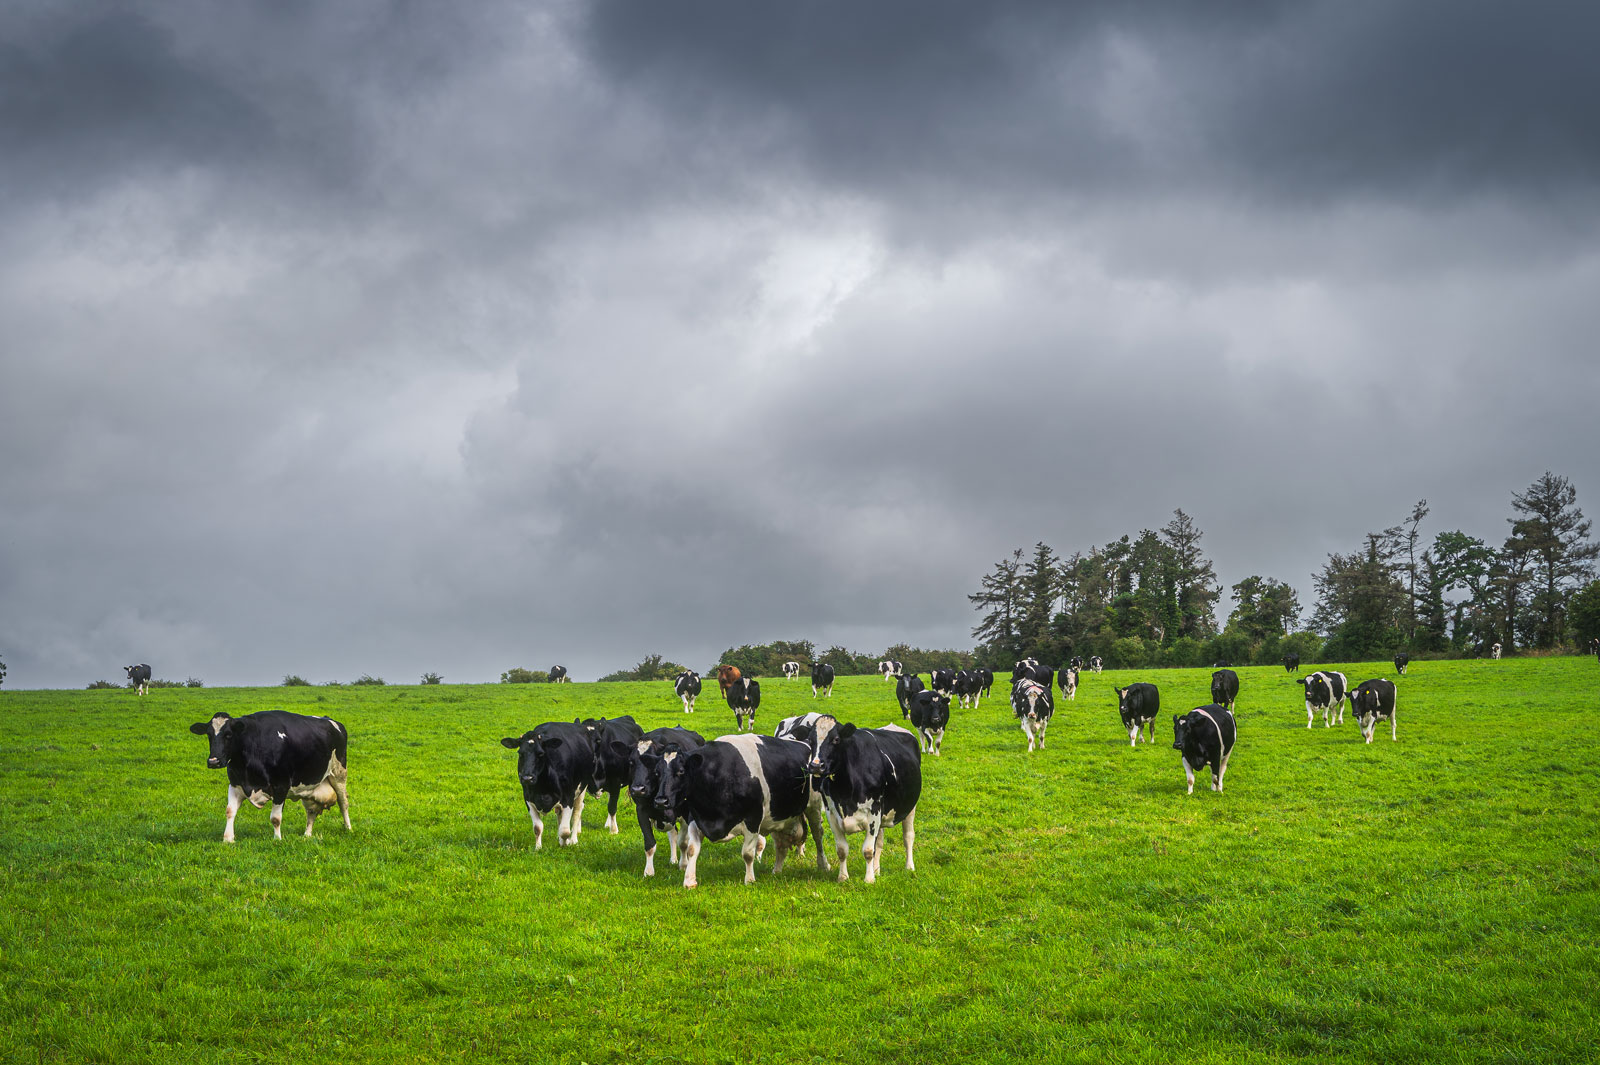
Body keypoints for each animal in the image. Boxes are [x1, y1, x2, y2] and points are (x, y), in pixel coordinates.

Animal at [189, 711, 350, 842]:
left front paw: (277, 839)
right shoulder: (235, 784)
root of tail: (330, 720)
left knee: (343, 803)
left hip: (339, 774)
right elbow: (230, 811)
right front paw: (228, 839)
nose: (213, 761)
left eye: (228, 734)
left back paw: (348, 828)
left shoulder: (281, 786)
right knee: (311, 811)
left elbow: (275, 818)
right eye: (209, 735)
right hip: (311, 787)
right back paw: (307, 835)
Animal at [500, 721, 594, 850]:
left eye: (540, 754)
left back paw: (573, 840)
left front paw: (566, 843)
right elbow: (537, 827)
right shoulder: (528, 799)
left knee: (577, 812)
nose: (527, 778)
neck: (543, 788)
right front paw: (538, 848)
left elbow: (565, 831)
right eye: (520, 753)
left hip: (582, 787)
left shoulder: (568, 798)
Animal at [622, 726, 705, 877]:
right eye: (631, 762)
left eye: (651, 766)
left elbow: (684, 842)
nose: (637, 789)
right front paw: (649, 872)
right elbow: (649, 843)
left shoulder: (686, 811)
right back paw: (673, 859)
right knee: (673, 833)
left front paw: (684, 865)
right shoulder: (641, 810)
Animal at [656, 733, 831, 888]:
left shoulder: (753, 818)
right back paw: (777, 870)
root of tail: (805, 742)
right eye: (658, 772)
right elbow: (692, 849)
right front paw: (689, 880)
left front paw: (750, 880)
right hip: (778, 816)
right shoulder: (697, 816)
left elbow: (747, 853)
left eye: (681, 771)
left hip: (813, 806)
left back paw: (823, 865)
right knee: (781, 844)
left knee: (818, 835)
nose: (660, 801)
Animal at [803, 716, 921, 883]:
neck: (844, 788)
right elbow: (842, 850)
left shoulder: (874, 811)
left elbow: (868, 850)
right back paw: (877, 869)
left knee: (908, 836)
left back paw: (909, 867)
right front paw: (843, 877)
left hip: (910, 807)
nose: (815, 766)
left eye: (836, 739)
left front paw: (869, 879)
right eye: (810, 740)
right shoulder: (831, 813)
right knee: (880, 841)